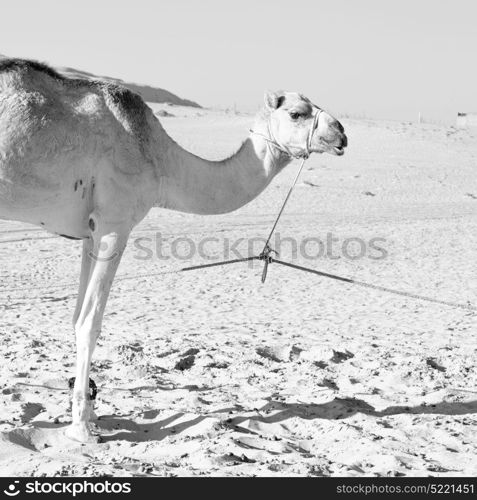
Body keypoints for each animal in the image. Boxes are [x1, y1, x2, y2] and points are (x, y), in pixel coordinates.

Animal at [0, 58, 344, 442]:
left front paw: (87, 412)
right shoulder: (115, 223)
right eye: (298, 113)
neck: (158, 158)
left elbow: (76, 317)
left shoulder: (91, 231)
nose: (341, 134)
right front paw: (82, 429)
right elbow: (90, 322)